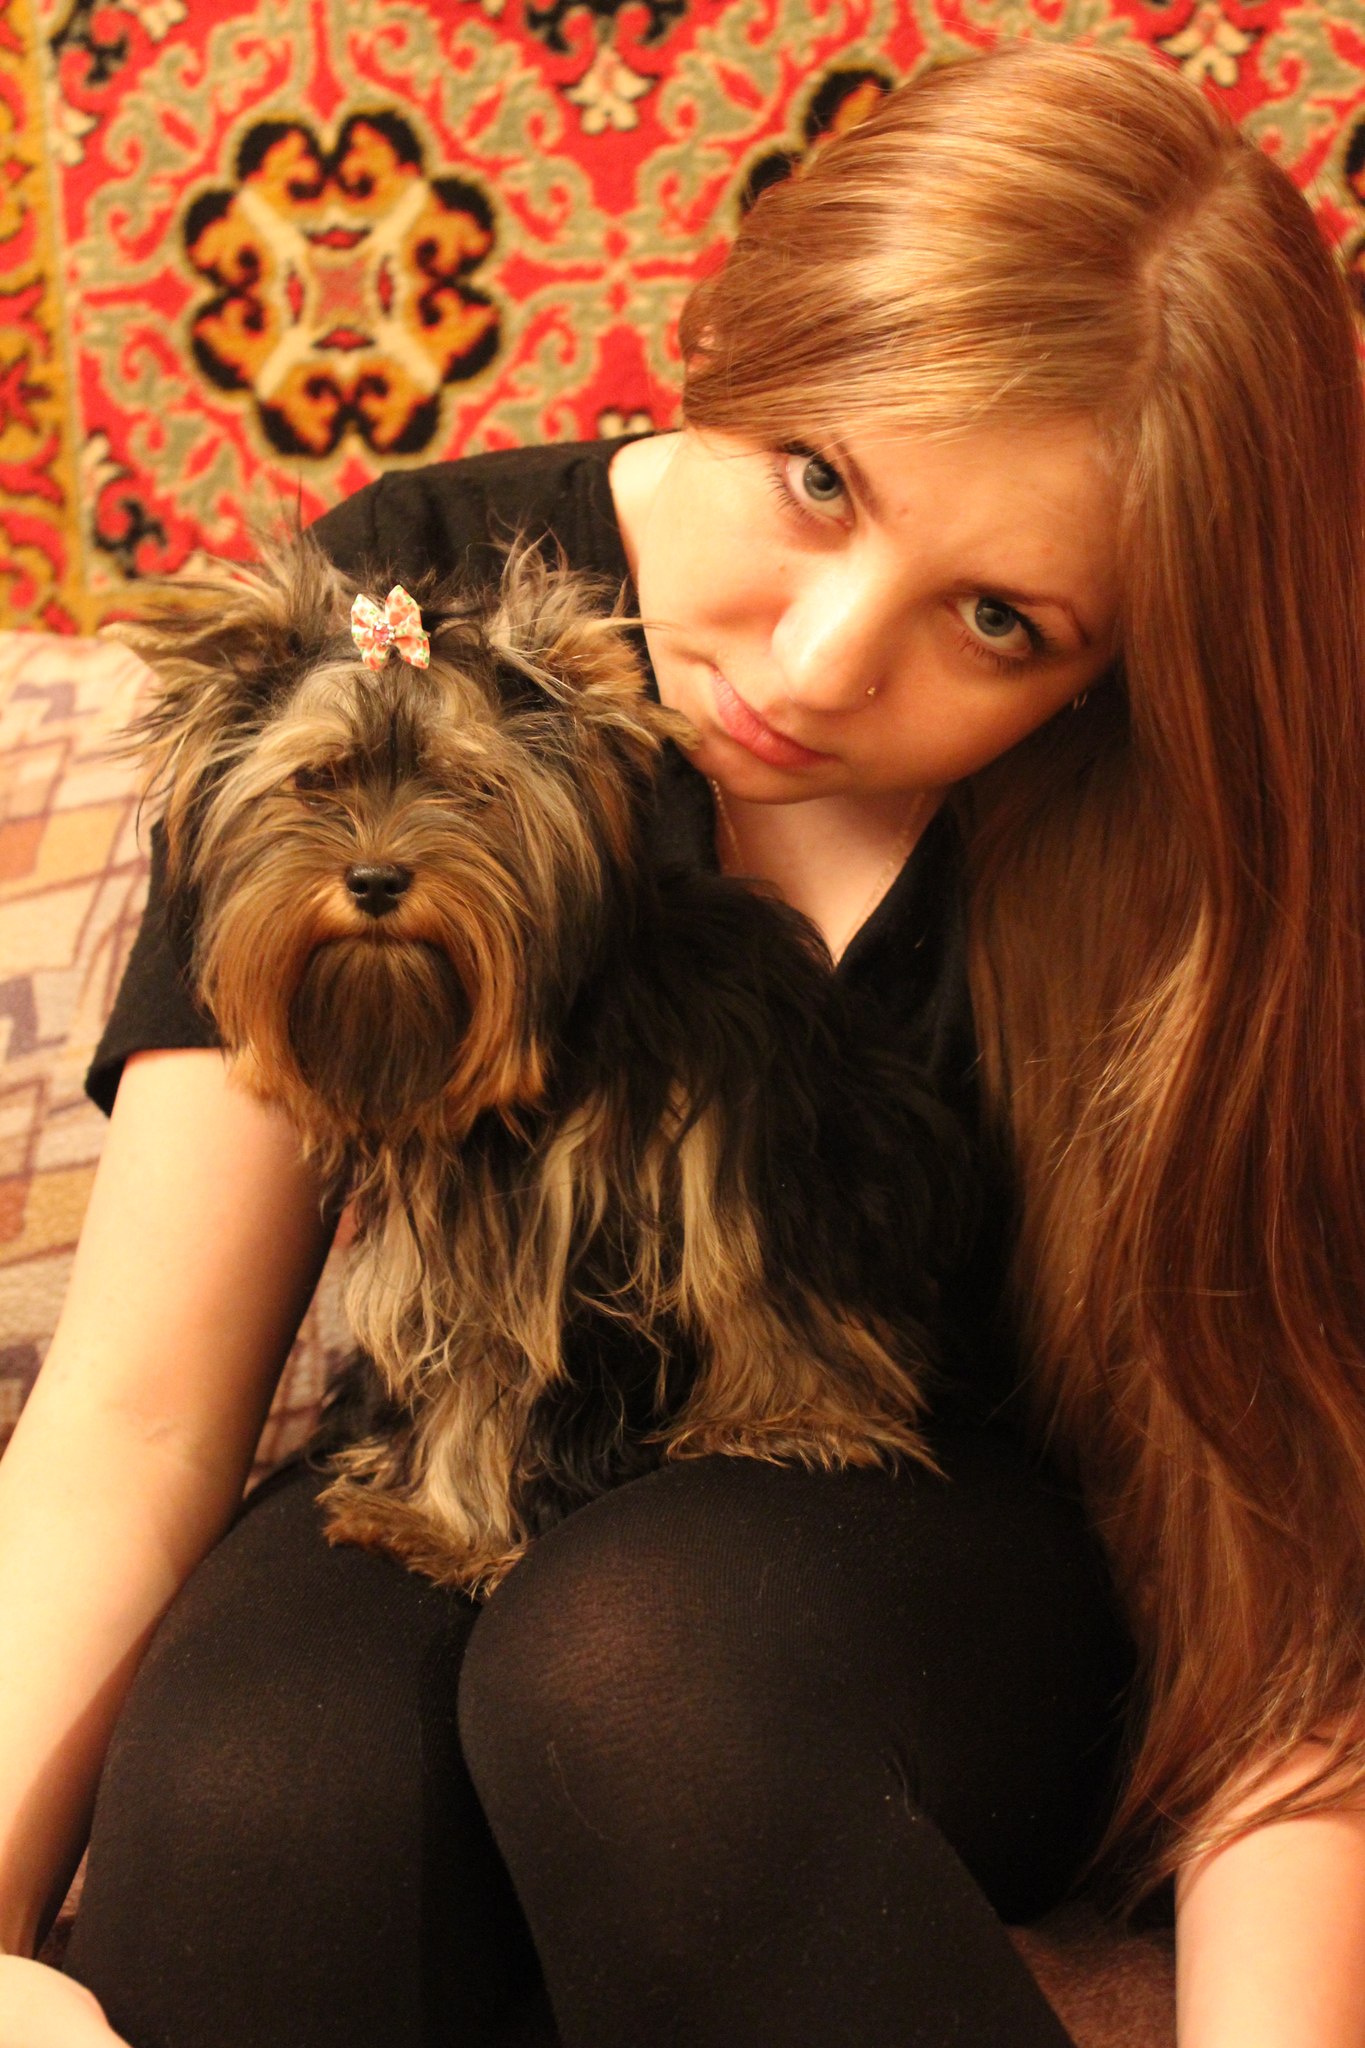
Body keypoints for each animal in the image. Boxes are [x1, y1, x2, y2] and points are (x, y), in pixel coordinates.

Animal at [125, 534, 965, 1594]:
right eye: (317, 780)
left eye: (468, 789)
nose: (374, 878)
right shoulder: (462, 1242)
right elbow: (468, 1361)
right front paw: (427, 1506)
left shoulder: (633, 1202)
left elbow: (544, 1356)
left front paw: (451, 1526)